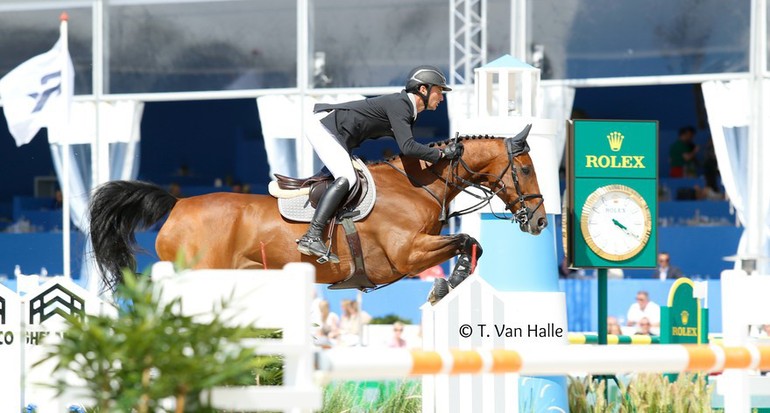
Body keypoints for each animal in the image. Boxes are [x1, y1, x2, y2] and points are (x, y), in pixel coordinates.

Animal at [88, 124, 544, 300]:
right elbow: (467, 240)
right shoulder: (406, 255)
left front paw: (446, 284)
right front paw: (443, 286)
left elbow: (472, 244)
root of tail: (178, 202)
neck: (418, 184)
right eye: (524, 169)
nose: (539, 220)